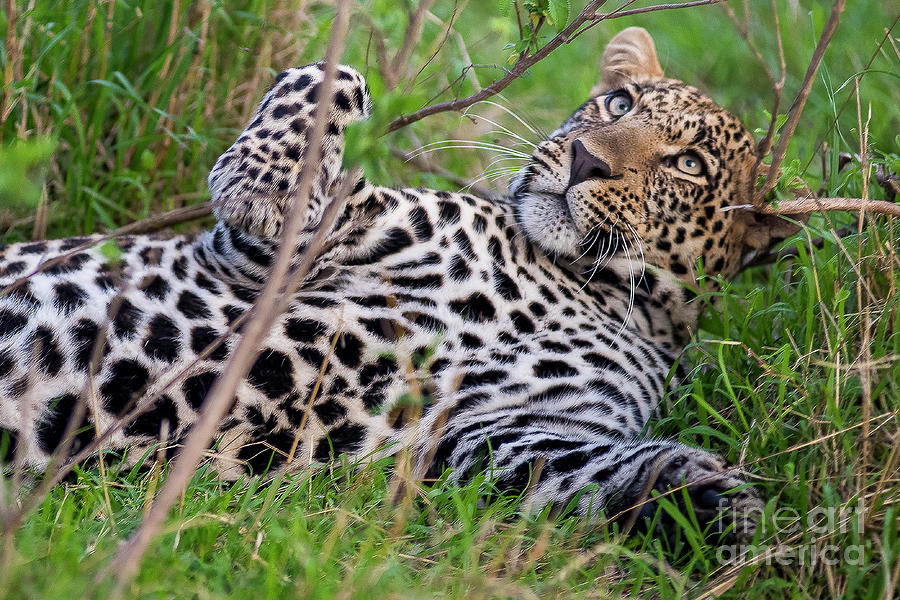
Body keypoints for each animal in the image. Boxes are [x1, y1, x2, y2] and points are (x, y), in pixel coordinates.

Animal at [0, 29, 796, 540]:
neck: (573, 279)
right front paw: (258, 184)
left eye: (687, 165)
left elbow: (584, 469)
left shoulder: (493, 435)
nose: (586, 160)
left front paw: (712, 502)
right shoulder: (268, 256)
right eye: (621, 104)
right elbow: (329, 73)